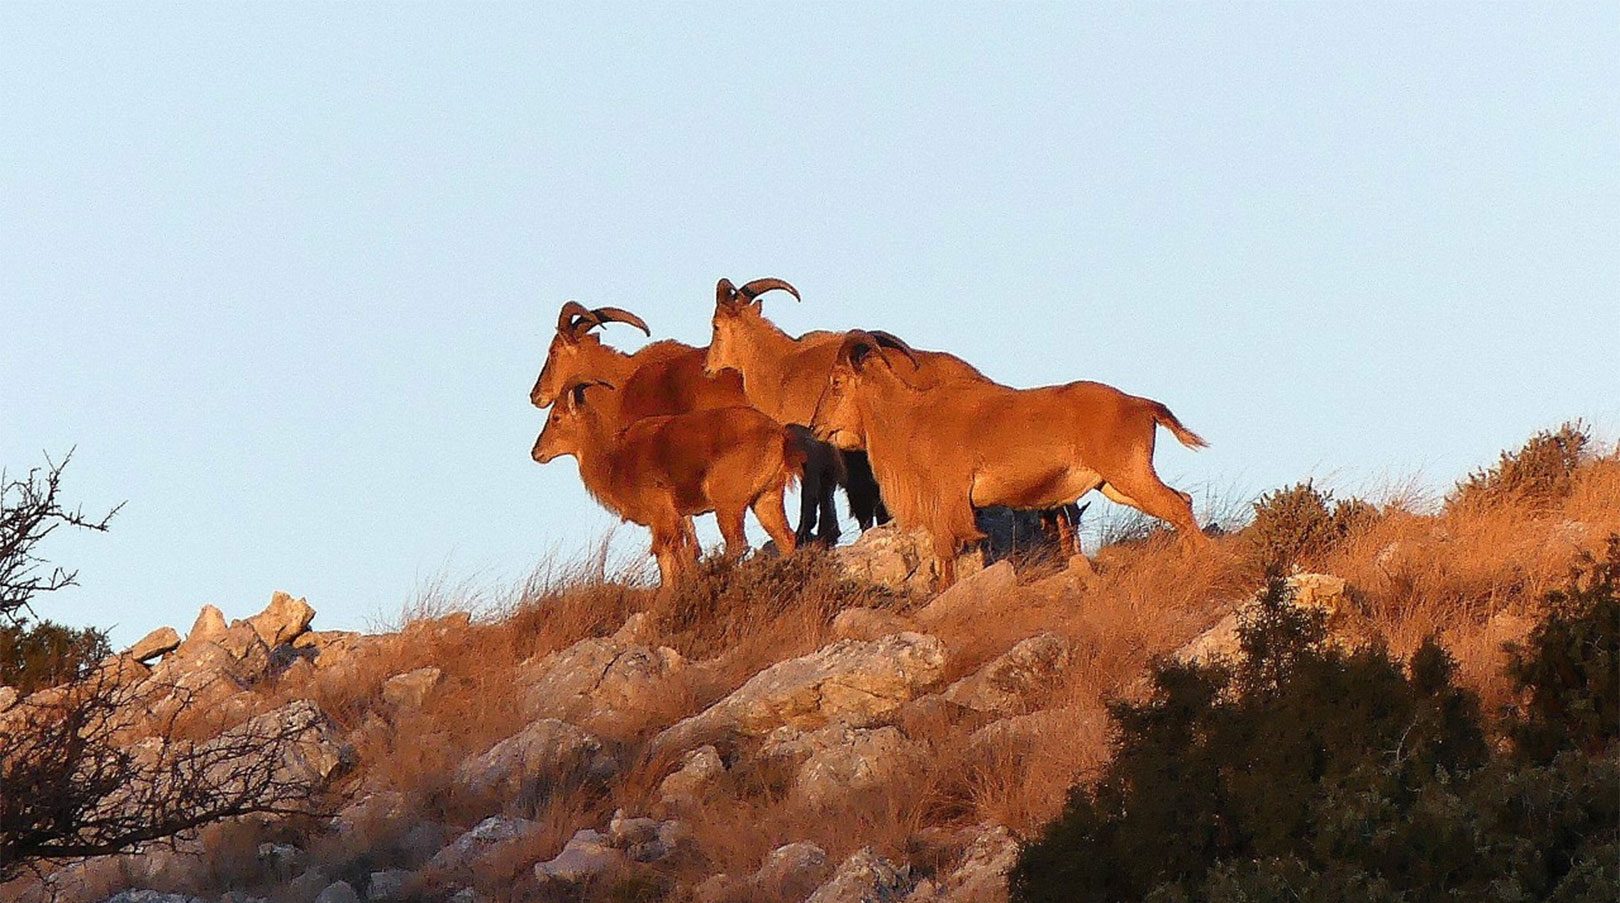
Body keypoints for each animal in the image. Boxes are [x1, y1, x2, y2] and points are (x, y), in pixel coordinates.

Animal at [534, 377, 806, 583]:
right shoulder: (675, 519)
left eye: (556, 417)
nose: (536, 452)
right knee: (785, 537)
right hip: (766, 498)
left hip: (728, 503)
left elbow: (665, 558)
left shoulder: (661, 517)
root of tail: (778, 433)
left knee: (737, 544)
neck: (615, 459)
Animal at [810, 330, 1205, 590]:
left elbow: (946, 552)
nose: (815, 427)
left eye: (837, 382)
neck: (912, 417)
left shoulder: (949, 499)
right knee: (1180, 501)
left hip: (1127, 473)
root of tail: (1142, 405)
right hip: (1113, 484)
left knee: (1177, 505)